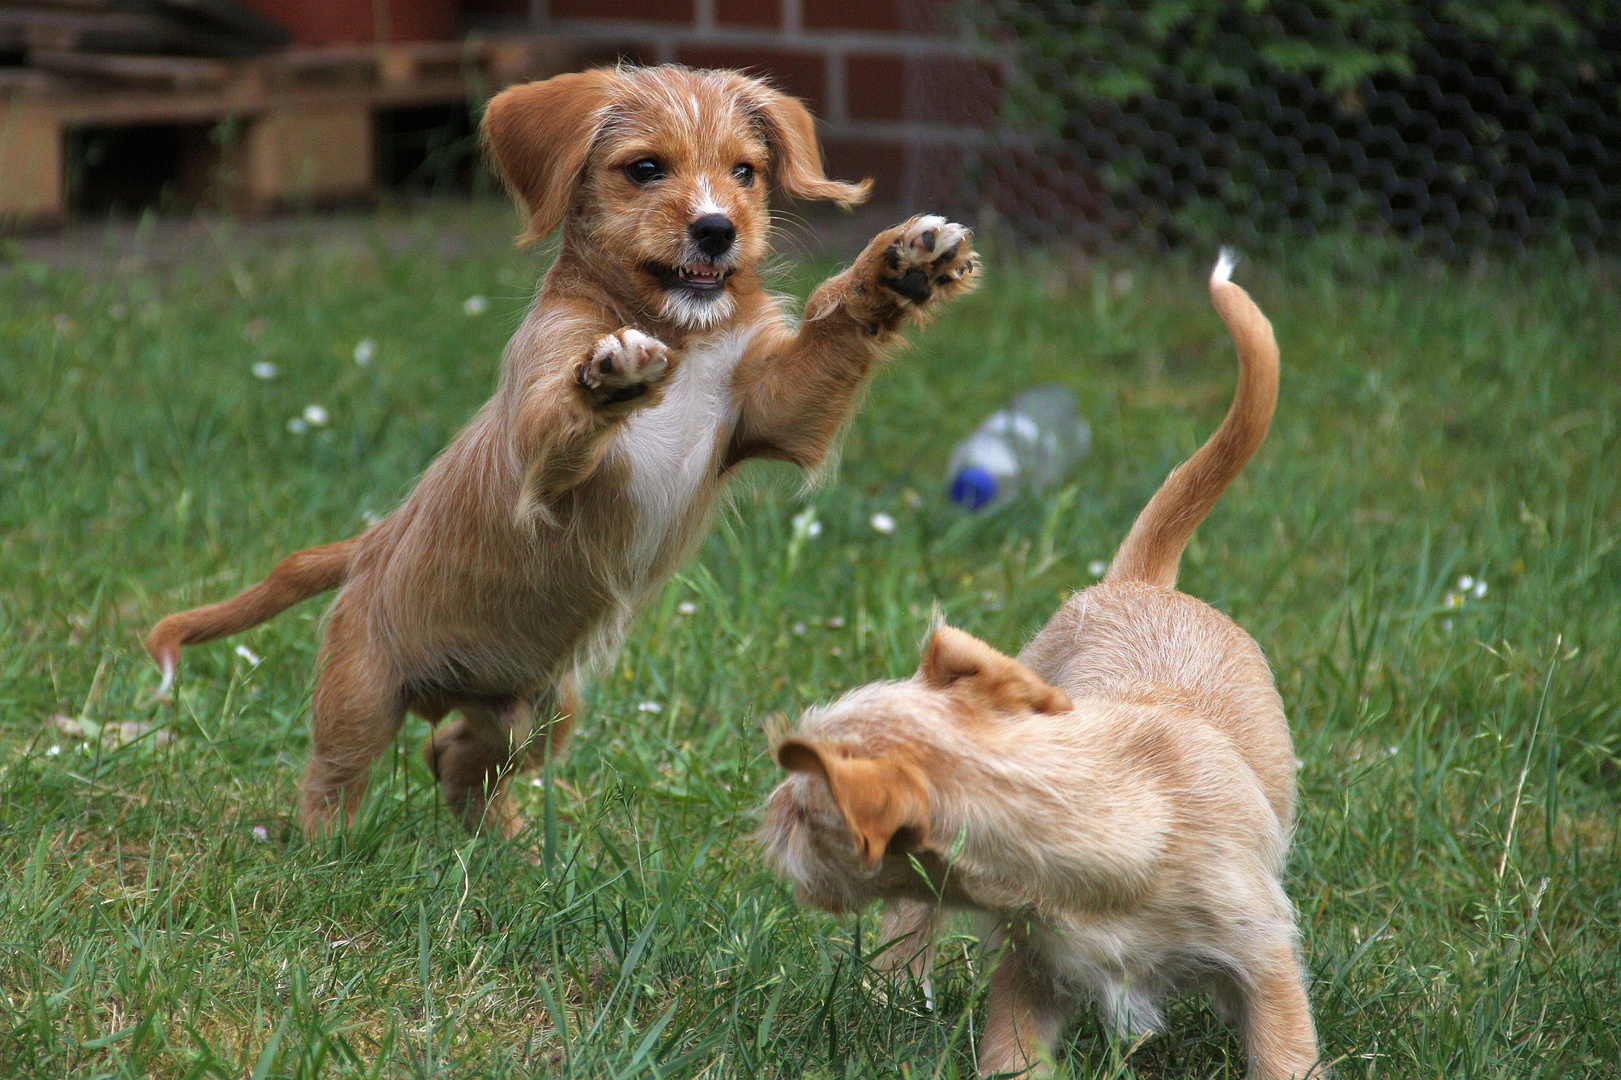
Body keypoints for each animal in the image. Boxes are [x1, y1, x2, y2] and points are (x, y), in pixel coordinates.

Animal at [152, 65, 979, 830]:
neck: (678, 329)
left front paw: (897, 271)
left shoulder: (775, 408)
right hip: (364, 689)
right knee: (337, 773)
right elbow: (564, 416)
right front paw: (610, 378)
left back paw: (502, 847)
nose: (717, 228)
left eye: (745, 172)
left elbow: (832, 333)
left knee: (457, 756)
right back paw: (337, 852)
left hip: (544, 710)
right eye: (644, 169)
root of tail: (368, 545)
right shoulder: (546, 457)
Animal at [758, 254, 1316, 1076]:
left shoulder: (1263, 960)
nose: (762, 816)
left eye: (802, 810)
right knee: (909, 923)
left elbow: (1283, 1053)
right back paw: (889, 994)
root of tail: (1140, 581)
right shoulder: (1029, 977)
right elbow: (1011, 1055)